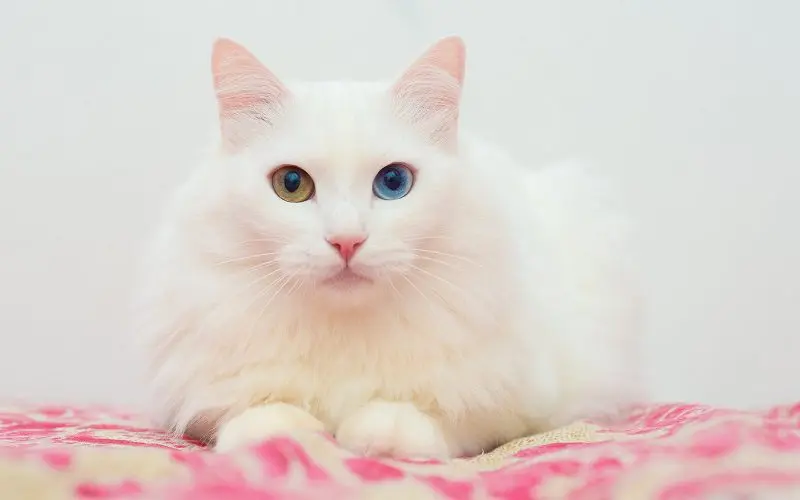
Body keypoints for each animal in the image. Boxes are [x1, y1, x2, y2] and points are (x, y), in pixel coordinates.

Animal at [134, 34, 640, 458]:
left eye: (393, 182)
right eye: (291, 184)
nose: (346, 240)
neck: (345, 333)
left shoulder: (518, 401)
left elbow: (438, 422)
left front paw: (379, 433)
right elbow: (254, 416)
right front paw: (287, 434)